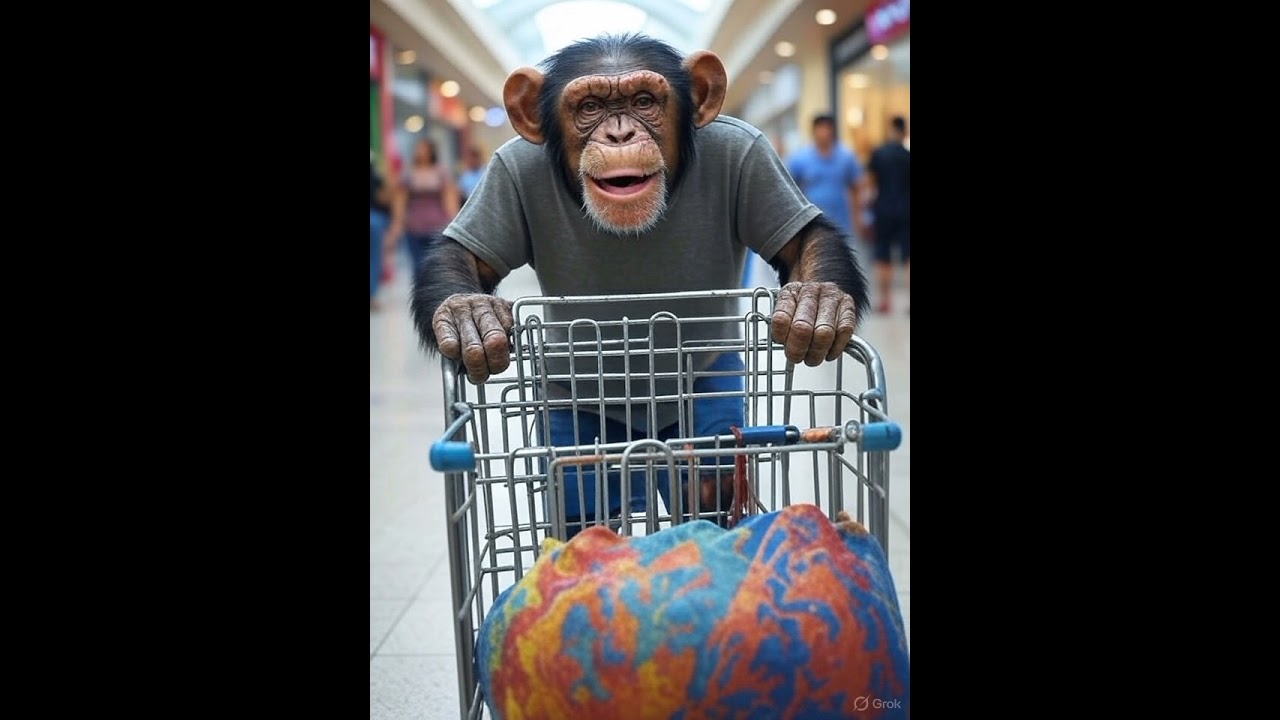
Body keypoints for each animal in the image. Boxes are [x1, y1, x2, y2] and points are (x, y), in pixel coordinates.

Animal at [411, 34, 870, 537]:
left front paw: (818, 302)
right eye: (590, 106)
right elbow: (465, 255)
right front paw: (467, 315)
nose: (619, 135)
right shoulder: (505, 170)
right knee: (581, 496)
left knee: (704, 479)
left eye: (644, 101)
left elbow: (801, 240)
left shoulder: (752, 152)